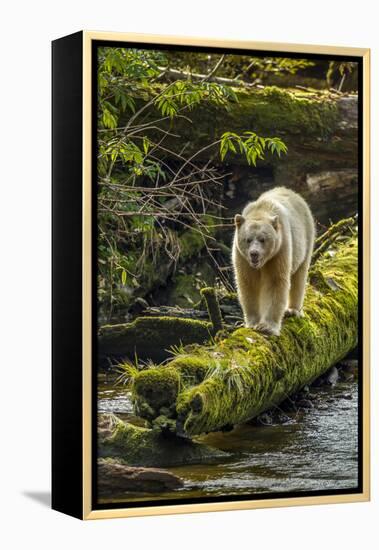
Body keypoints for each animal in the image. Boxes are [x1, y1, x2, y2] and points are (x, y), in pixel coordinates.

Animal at [233, 189, 316, 336]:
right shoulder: (242, 258)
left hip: (305, 239)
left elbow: (275, 282)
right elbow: (248, 284)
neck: (260, 211)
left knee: (299, 276)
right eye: (248, 239)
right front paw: (252, 322)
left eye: (263, 239)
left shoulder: (279, 251)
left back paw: (293, 310)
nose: (254, 253)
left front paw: (266, 326)